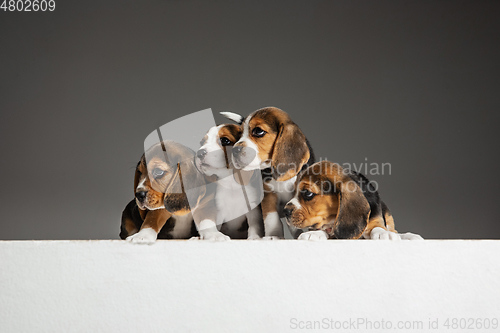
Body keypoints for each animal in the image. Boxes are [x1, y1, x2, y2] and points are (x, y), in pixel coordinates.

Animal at [222, 106, 314, 239]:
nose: (234, 150)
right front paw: (273, 236)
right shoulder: (268, 196)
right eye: (240, 134)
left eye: (258, 131)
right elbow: (271, 218)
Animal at [284, 160, 424, 240]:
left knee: (394, 230)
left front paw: (384, 234)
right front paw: (314, 234)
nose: (285, 211)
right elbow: (325, 230)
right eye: (293, 192)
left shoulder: (376, 218)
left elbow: (377, 226)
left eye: (308, 193)